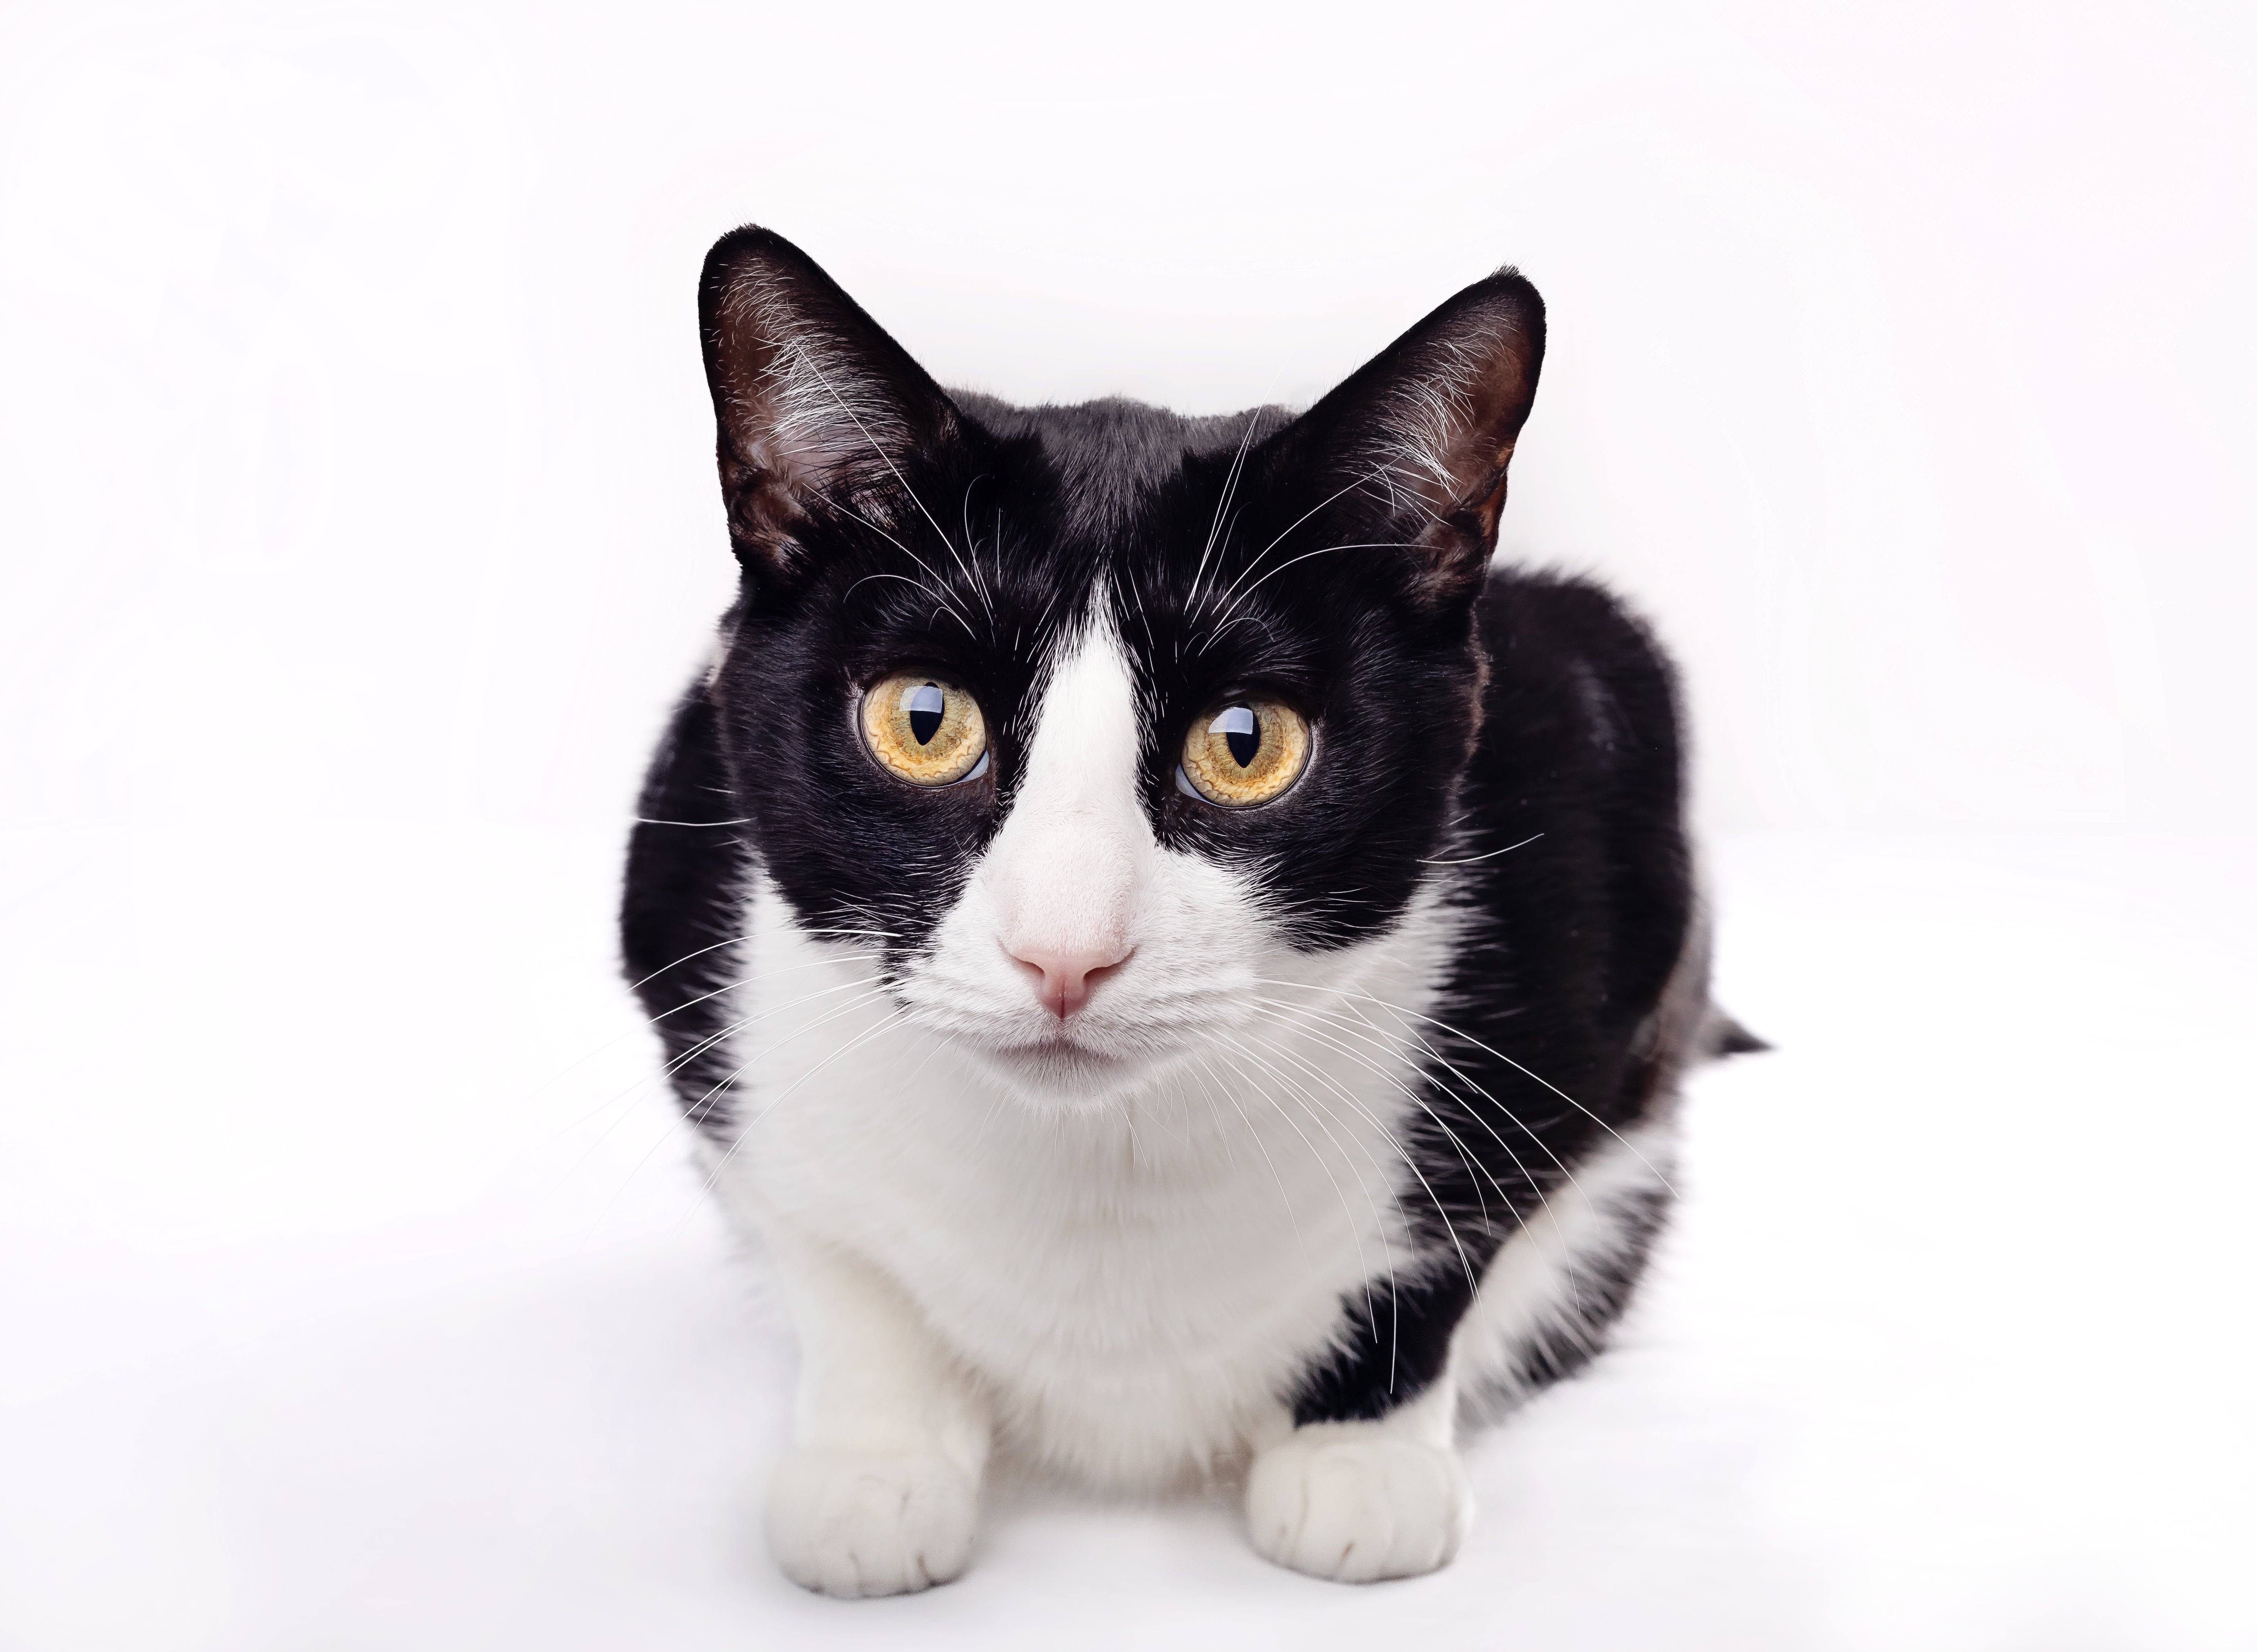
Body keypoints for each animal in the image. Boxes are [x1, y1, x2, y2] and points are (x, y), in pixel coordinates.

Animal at [627, 226, 1751, 1598]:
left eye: (1245, 742)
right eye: (923, 721)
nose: (1064, 952)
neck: (1097, 1164)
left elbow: (1457, 1240)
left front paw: (1356, 1464)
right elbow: (835, 1260)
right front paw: (874, 1471)